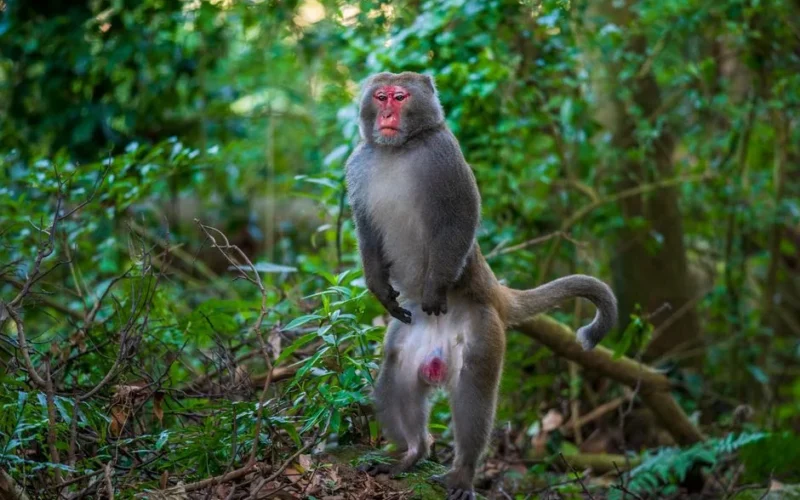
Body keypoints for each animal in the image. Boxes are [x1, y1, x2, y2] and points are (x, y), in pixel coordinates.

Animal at [345, 71, 617, 500]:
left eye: (400, 97)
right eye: (381, 95)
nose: (386, 114)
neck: (398, 151)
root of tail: (494, 291)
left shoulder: (443, 156)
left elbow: (460, 216)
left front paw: (434, 288)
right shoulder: (360, 163)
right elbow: (368, 231)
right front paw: (379, 288)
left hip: (482, 326)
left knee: (473, 388)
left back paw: (462, 472)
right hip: (413, 334)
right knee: (396, 372)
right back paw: (412, 452)